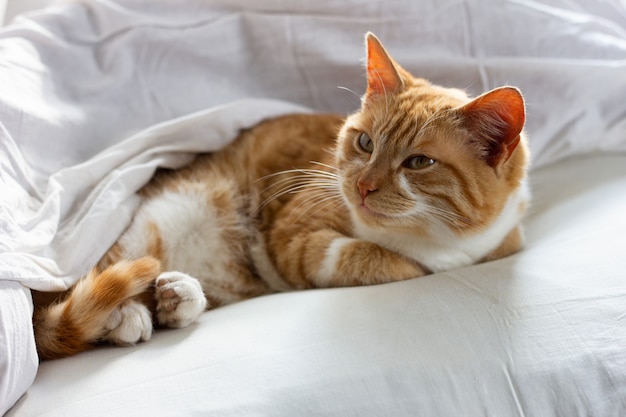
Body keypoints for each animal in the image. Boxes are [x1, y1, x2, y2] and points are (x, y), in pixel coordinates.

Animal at [30, 33, 528, 358]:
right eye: (365, 143)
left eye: (419, 162)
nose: (362, 186)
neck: (434, 239)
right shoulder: (295, 235)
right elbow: (380, 260)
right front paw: (404, 261)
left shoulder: (506, 241)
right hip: (165, 217)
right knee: (92, 282)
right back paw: (129, 314)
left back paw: (176, 297)